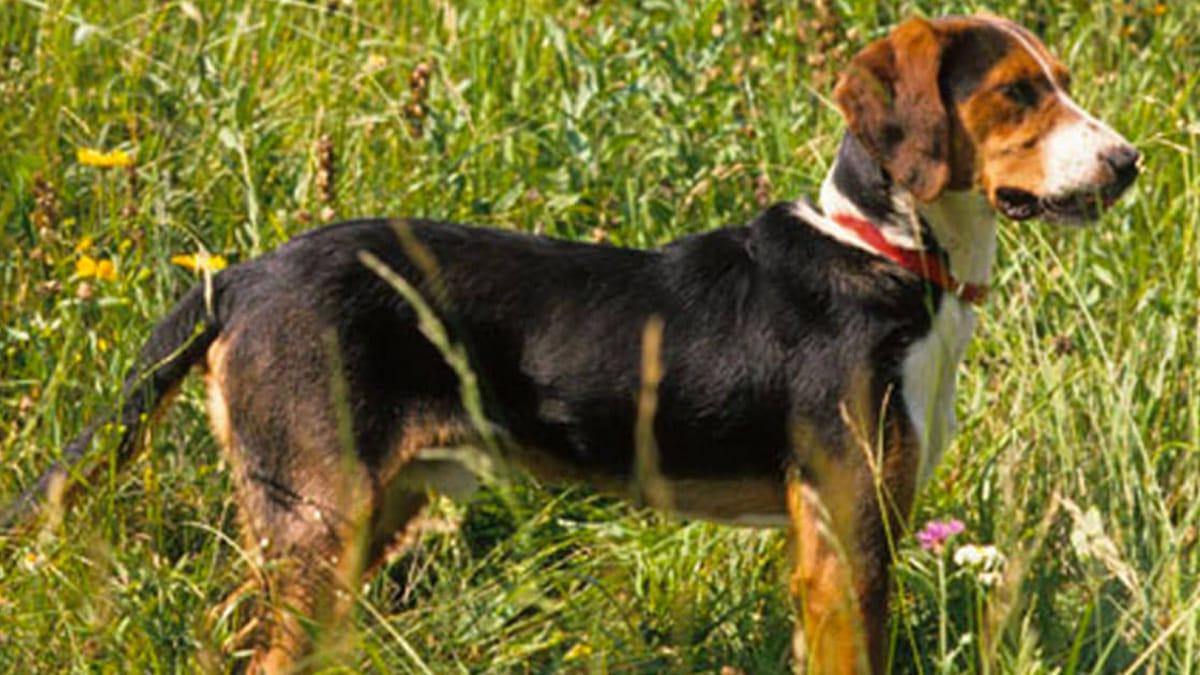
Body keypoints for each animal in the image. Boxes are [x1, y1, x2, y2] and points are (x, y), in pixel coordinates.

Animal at [7, 13, 1132, 667]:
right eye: (1018, 94)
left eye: (1064, 80)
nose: (1128, 164)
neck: (888, 257)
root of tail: (241, 274)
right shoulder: (844, 532)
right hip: (317, 523)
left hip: (367, 519)